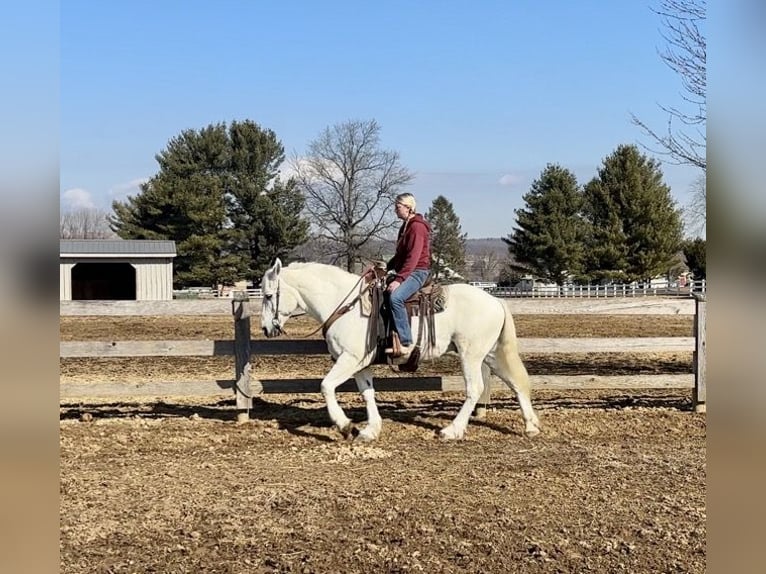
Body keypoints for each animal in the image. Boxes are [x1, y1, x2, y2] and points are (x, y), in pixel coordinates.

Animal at [260, 258, 544, 444]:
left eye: (267, 295)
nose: (265, 328)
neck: (345, 304)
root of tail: (495, 300)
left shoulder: (349, 359)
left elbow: (326, 386)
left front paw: (344, 426)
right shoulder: (360, 364)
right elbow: (367, 393)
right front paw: (370, 430)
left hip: (470, 355)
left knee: (474, 390)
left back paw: (451, 430)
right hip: (491, 354)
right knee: (516, 383)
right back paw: (530, 426)